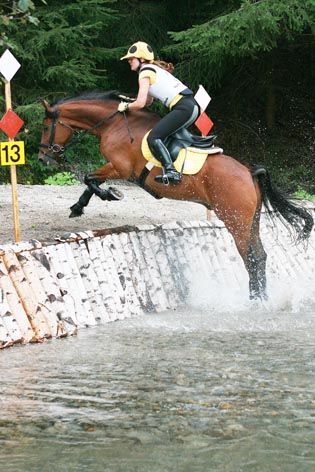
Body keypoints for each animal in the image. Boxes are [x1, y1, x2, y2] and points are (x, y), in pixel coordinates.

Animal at [38, 90, 314, 300]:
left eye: (45, 126)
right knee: (260, 255)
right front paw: (78, 207)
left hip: (234, 220)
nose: (43, 158)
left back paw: (255, 300)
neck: (113, 123)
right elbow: (90, 182)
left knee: (251, 257)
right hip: (251, 220)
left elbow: (90, 179)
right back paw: (261, 298)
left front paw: (111, 194)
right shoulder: (115, 167)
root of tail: (249, 172)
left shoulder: (120, 167)